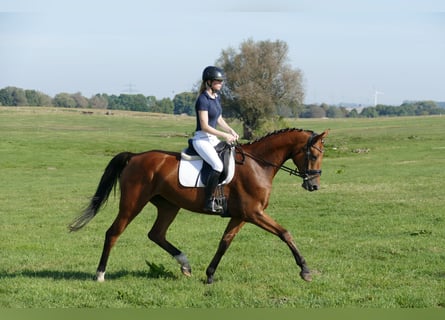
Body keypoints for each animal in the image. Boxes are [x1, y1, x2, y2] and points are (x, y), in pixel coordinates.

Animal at [68, 127, 326, 282]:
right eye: (313, 156)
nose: (313, 186)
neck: (258, 164)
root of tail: (135, 157)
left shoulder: (242, 216)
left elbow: (225, 242)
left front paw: (210, 275)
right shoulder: (254, 213)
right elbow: (285, 233)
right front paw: (305, 270)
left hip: (169, 205)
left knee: (156, 234)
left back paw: (185, 265)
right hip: (133, 204)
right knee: (113, 233)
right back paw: (100, 274)